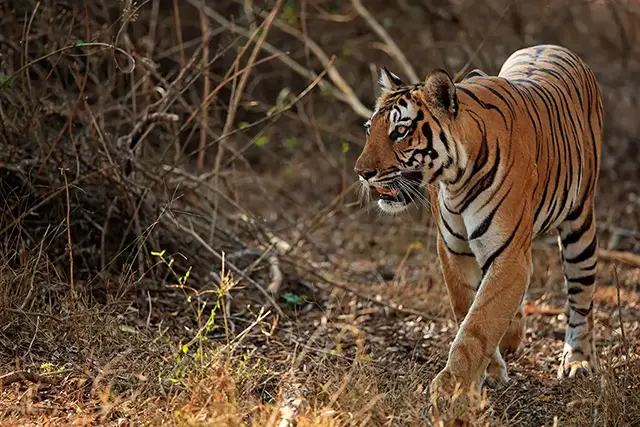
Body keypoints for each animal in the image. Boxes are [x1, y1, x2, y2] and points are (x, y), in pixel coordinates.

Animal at [354, 44, 603, 408]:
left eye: (399, 132)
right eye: (369, 129)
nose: (361, 172)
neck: (456, 179)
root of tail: (552, 46)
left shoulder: (508, 253)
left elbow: (479, 322)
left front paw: (452, 386)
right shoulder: (453, 249)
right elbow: (468, 309)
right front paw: (490, 371)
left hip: (580, 224)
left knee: (581, 295)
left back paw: (578, 360)